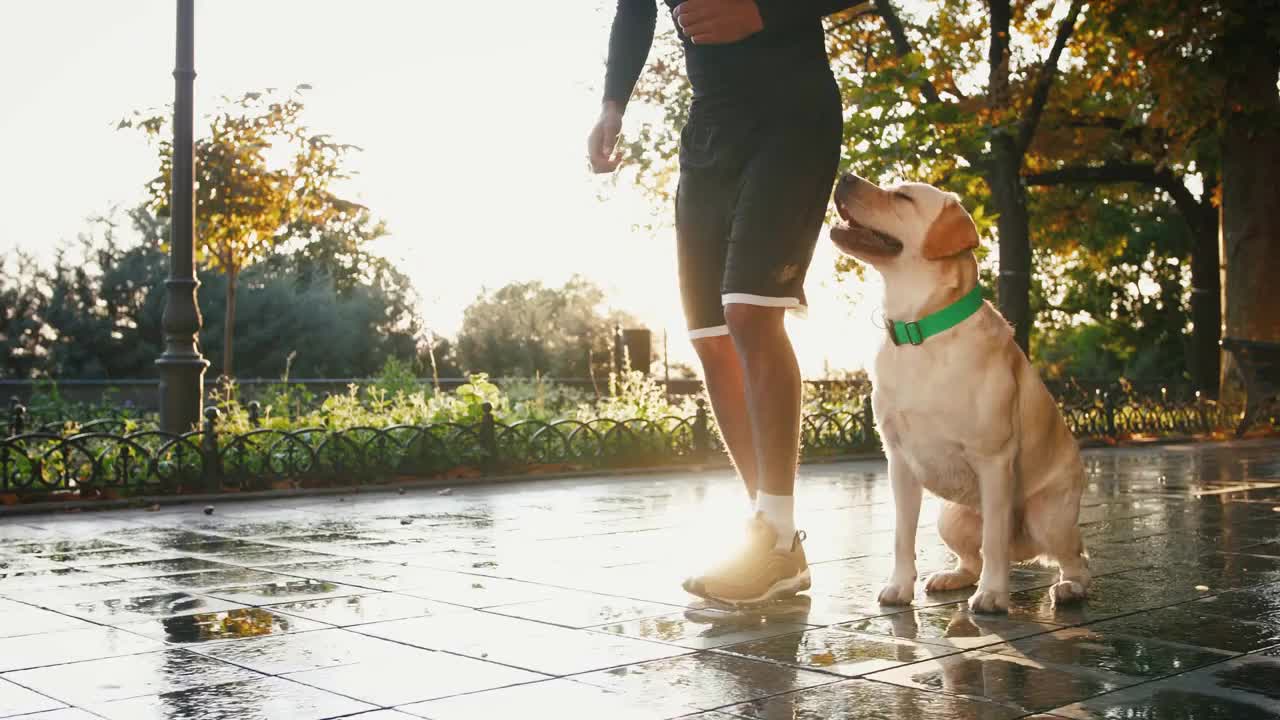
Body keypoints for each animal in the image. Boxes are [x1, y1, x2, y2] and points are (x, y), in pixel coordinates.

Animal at [829, 172, 1090, 609]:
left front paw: (993, 595)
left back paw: (1069, 588)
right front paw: (899, 587)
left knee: (1073, 558)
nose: (844, 175)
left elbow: (995, 539)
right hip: (949, 516)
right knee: (973, 556)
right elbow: (901, 535)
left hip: (1047, 516)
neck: (919, 329)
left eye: (902, 197)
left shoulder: (994, 459)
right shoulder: (898, 461)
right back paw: (951, 577)